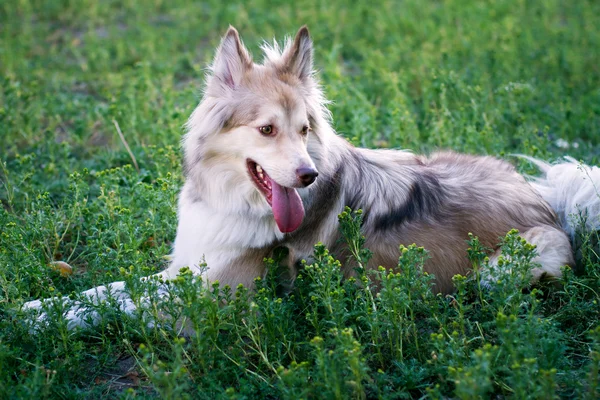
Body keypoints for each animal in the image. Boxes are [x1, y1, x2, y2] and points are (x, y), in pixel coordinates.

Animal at [23, 26, 600, 330]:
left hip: (504, 269)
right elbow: (108, 290)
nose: (307, 174)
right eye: (266, 129)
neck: (237, 202)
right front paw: (34, 308)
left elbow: (120, 306)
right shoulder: (188, 270)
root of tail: (547, 202)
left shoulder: (217, 297)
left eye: (304, 130)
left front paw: (41, 321)